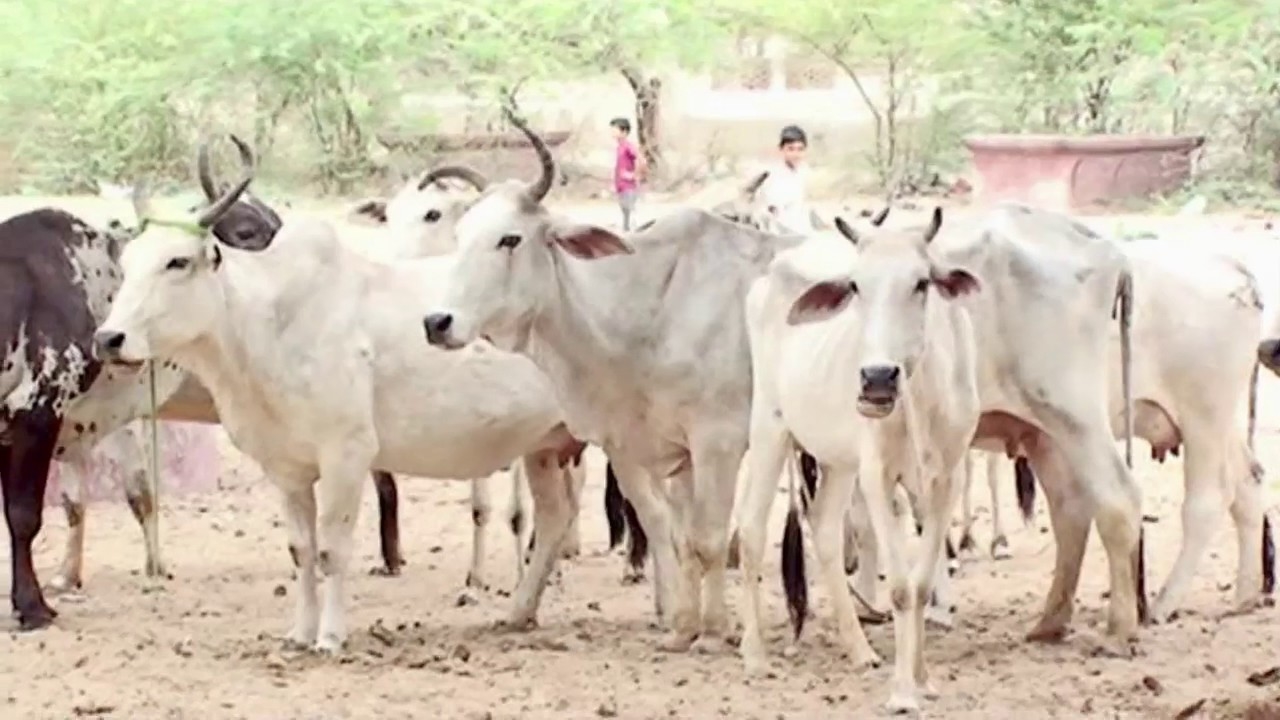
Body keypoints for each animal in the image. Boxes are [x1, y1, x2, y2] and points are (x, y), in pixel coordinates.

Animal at [94, 165, 586, 653]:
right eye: (127, 263)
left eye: (176, 261)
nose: (108, 338)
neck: (268, 321)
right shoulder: (286, 470)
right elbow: (301, 551)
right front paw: (299, 633)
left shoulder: (346, 454)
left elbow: (332, 550)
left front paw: (330, 636)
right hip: (543, 449)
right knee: (554, 517)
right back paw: (520, 611)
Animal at [422, 108, 806, 650]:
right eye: (458, 236)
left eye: (510, 238)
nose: (438, 322)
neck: (651, 304)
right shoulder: (644, 447)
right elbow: (675, 533)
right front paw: (683, 627)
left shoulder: (719, 441)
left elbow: (708, 537)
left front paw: (713, 631)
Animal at [738, 208, 979, 712]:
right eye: (855, 286)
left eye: (921, 283)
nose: (877, 378)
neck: (919, 400)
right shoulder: (877, 476)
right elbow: (902, 588)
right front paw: (903, 692)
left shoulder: (946, 478)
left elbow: (922, 585)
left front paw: (923, 678)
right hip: (769, 424)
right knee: (750, 528)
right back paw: (753, 653)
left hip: (837, 461)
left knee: (826, 530)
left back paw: (858, 648)